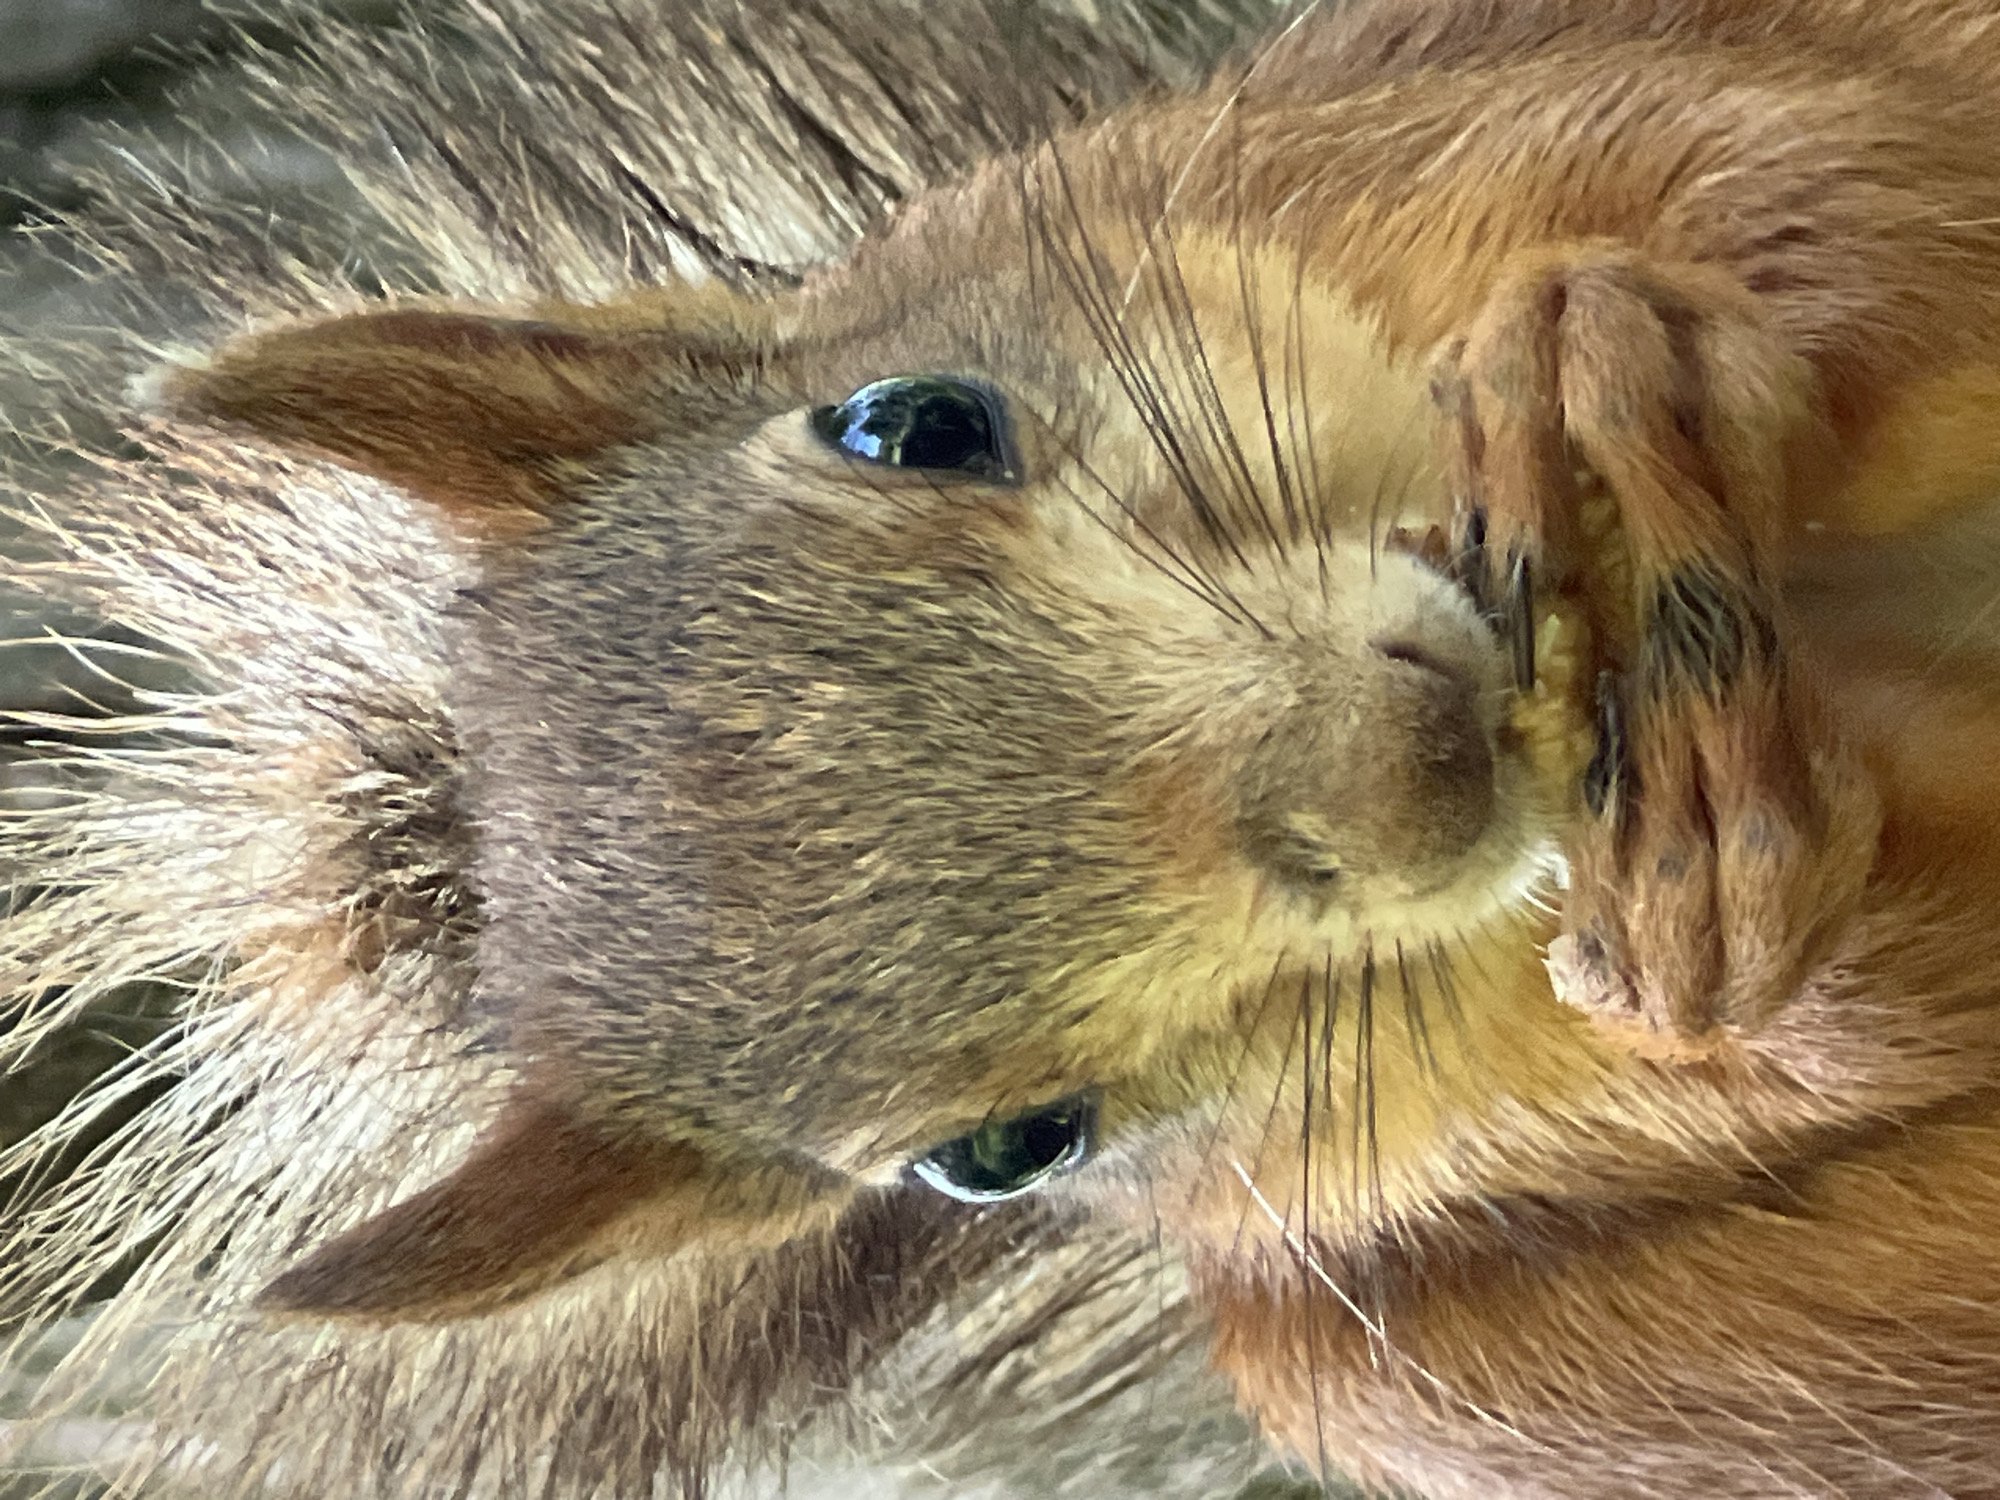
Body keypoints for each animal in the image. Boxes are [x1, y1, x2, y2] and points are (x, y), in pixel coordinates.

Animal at [13, 0, 2000, 1496]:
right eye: (1004, 1155)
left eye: (914, 423)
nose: (1417, 770)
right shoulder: (1443, 1152)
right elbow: (1878, 1017)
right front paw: (1713, 880)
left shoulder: (1414, 146)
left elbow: (1814, 164)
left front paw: (1616, 361)